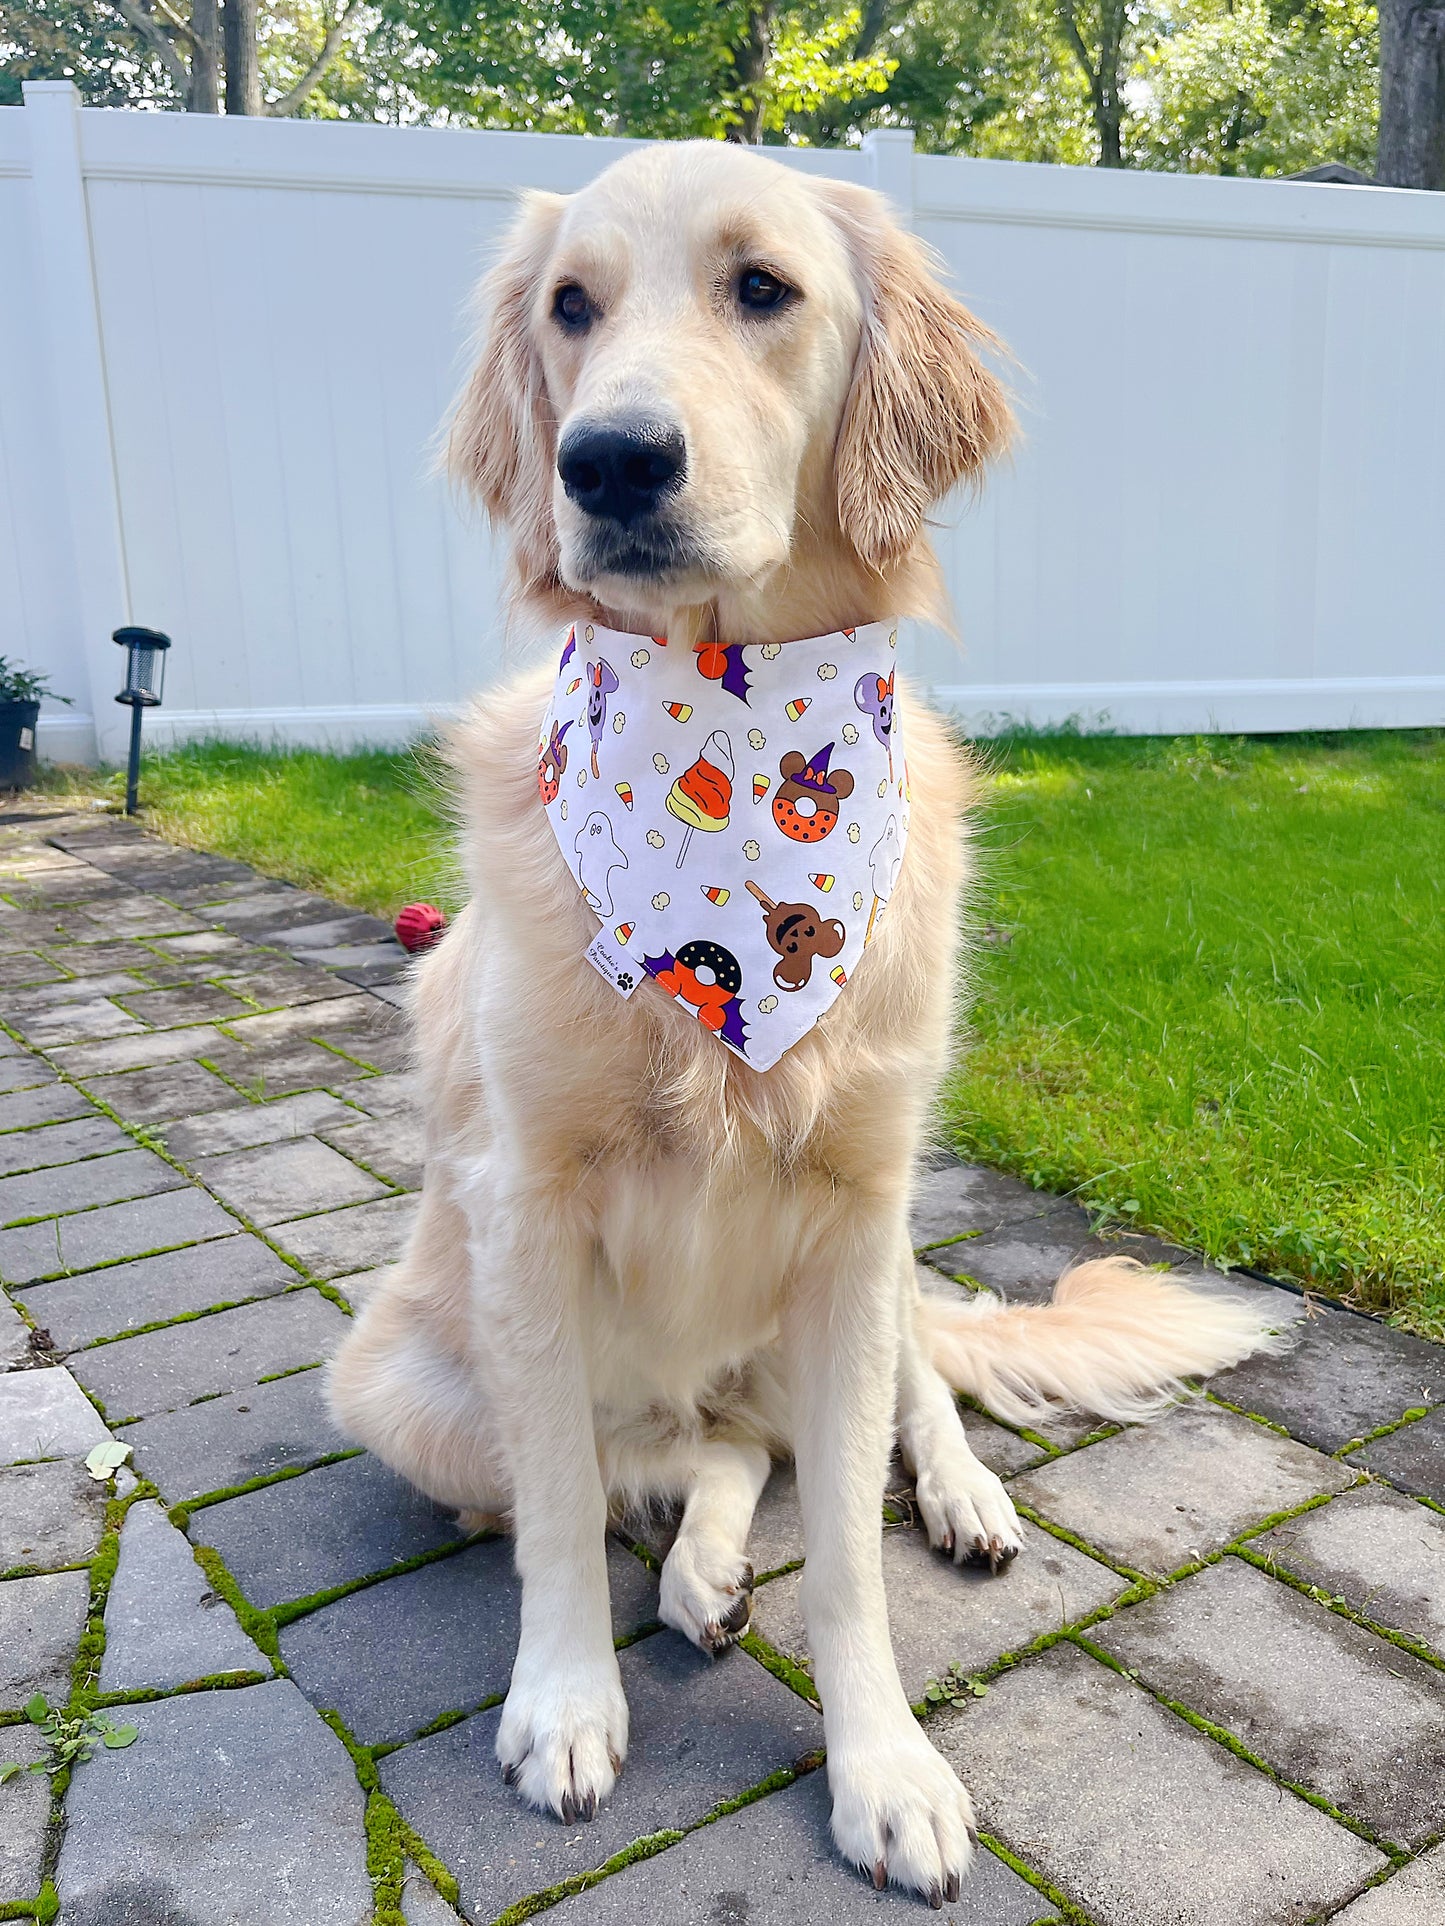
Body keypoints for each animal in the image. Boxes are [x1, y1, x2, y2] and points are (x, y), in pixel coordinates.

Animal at [331, 142, 1287, 1902]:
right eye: (571, 307)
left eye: (761, 288)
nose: (606, 459)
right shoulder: (524, 1213)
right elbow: (562, 1506)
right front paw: (565, 1701)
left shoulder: (855, 1212)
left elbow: (848, 1538)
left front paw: (882, 1766)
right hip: (401, 1383)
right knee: (689, 1454)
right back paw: (696, 1576)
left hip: (883, 1248)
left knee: (877, 1405)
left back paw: (956, 1498)